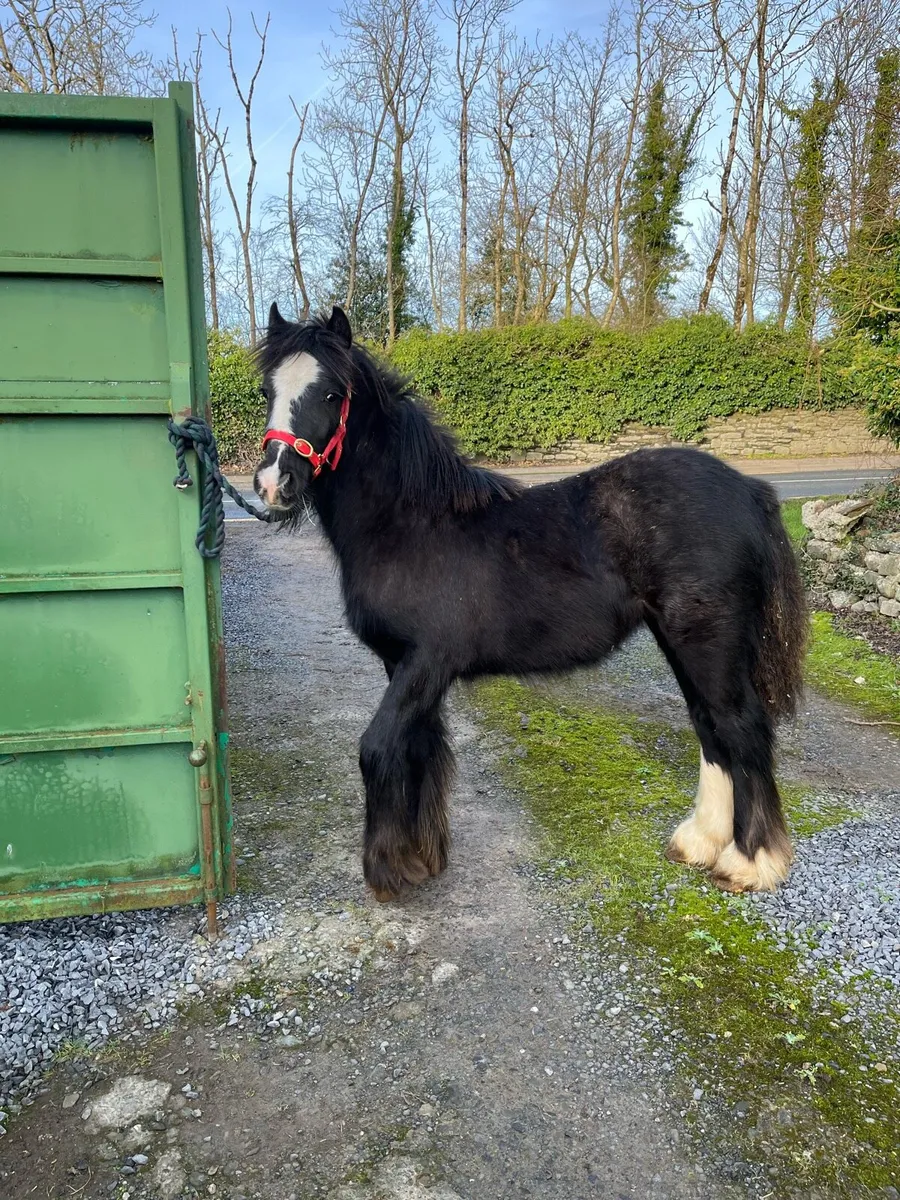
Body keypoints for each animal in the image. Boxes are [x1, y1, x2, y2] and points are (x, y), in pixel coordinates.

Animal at [252, 304, 807, 901]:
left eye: (332, 393)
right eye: (267, 390)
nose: (274, 483)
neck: (411, 524)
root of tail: (750, 489)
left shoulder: (425, 662)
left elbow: (378, 748)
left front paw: (389, 870)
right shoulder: (402, 665)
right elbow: (420, 749)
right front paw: (422, 857)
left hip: (707, 641)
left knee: (741, 727)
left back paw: (750, 863)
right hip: (679, 639)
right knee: (709, 726)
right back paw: (699, 842)